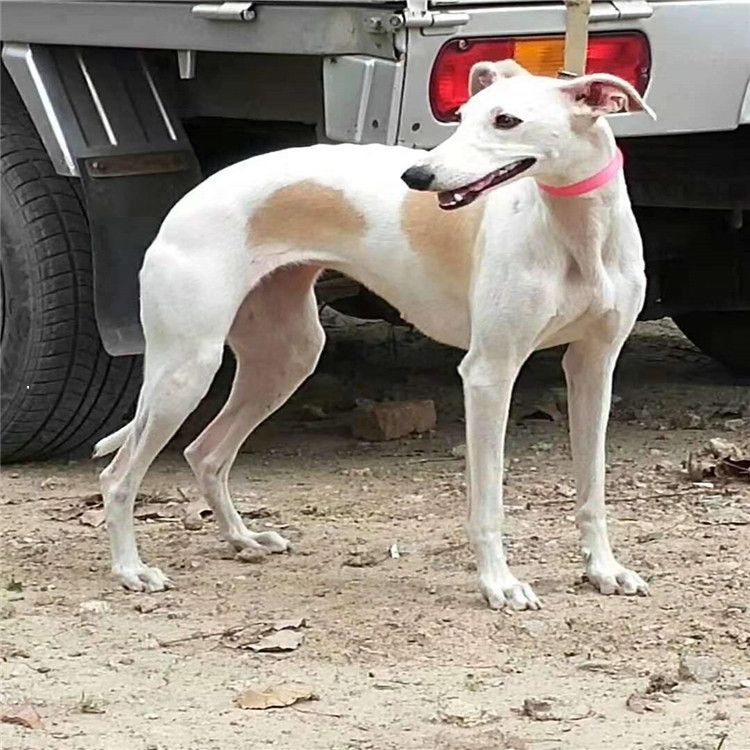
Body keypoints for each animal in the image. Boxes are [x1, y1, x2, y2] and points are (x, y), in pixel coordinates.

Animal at [95, 58, 656, 612]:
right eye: (461, 116)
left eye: (506, 120)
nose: (417, 176)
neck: (577, 235)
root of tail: (190, 198)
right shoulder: (489, 374)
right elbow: (488, 502)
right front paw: (499, 583)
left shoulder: (594, 367)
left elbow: (592, 488)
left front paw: (605, 570)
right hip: (187, 369)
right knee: (118, 476)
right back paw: (130, 570)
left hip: (285, 359)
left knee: (205, 453)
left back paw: (244, 538)